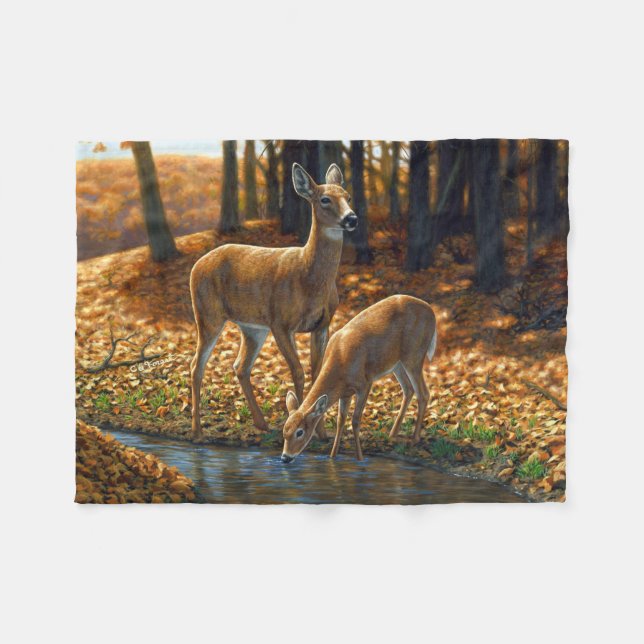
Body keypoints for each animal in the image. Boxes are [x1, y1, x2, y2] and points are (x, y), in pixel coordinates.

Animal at [189, 162, 357, 440]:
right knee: (196, 366)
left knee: (240, 366)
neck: (309, 279)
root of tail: (196, 265)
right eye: (324, 199)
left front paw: (322, 433)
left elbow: (317, 374)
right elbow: (298, 372)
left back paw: (261, 423)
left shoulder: (322, 324)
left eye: (348, 196)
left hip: (252, 327)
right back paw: (198, 433)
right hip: (208, 315)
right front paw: (305, 429)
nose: (351, 218)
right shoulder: (281, 323)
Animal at [281, 294, 437, 463]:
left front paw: (360, 458)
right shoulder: (345, 393)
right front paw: (332, 457)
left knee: (423, 393)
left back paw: (414, 439)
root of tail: (432, 313)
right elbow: (340, 421)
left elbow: (355, 420)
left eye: (300, 432)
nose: (285, 457)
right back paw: (392, 434)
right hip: (397, 363)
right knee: (408, 389)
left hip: (414, 354)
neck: (340, 362)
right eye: (284, 431)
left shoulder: (364, 383)